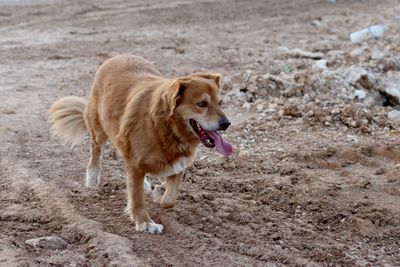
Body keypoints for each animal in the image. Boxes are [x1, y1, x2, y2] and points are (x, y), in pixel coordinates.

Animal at [48, 55, 233, 234]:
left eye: (220, 102)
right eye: (202, 104)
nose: (226, 123)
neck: (163, 125)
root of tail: (117, 56)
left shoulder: (179, 164)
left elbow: (169, 199)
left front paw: (159, 192)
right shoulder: (136, 164)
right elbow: (137, 199)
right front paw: (145, 223)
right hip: (98, 129)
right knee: (96, 149)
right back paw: (93, 179)